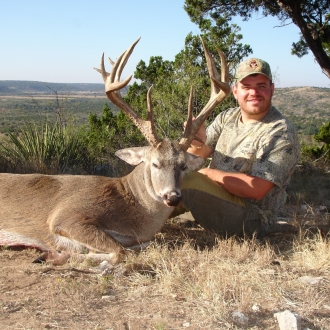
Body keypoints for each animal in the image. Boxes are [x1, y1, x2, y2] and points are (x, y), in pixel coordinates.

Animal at [0, 38, 229, 266]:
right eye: (155, 163)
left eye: (183, 166)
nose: (172, 197)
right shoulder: (65, 217)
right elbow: (119, 251)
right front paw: (51, 254)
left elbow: (133, 247)